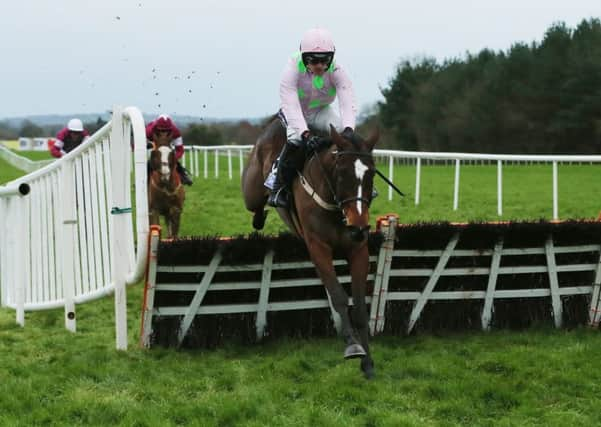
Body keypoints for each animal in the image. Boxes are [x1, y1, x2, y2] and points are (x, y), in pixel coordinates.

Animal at [241, 118, 378, 382]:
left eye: (372, 174)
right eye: (341, 172)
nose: (358, 226)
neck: (334, 206)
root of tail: (274, 122)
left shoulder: (358, 249)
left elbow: (359, 306)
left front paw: (367, 362)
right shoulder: (318, 247)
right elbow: (338, 297)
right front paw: (352, 345)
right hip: (251, 191)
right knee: (254, 205)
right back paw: (260, 217)